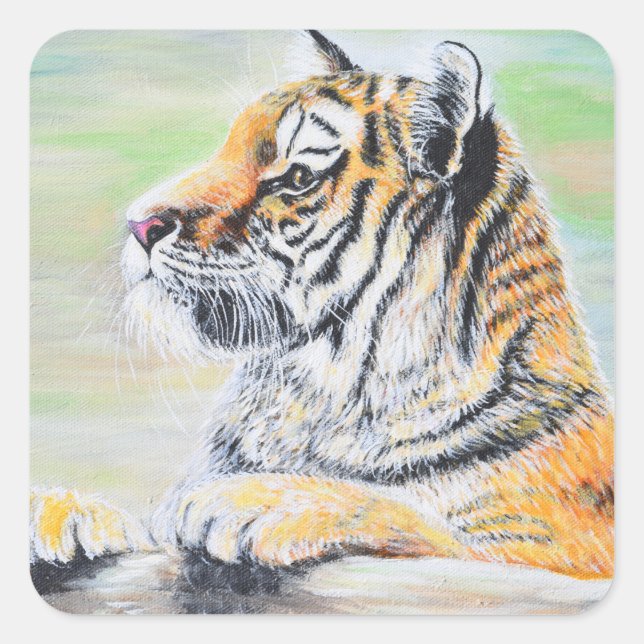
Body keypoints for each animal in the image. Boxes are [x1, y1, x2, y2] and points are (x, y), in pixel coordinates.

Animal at [31, 31, 613, 581]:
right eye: (225, 149)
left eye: (296, 178)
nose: (140, 223)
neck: (319, 387)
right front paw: (55, 511)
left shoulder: (563, 550)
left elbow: (429, 527)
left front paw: (253, 500)